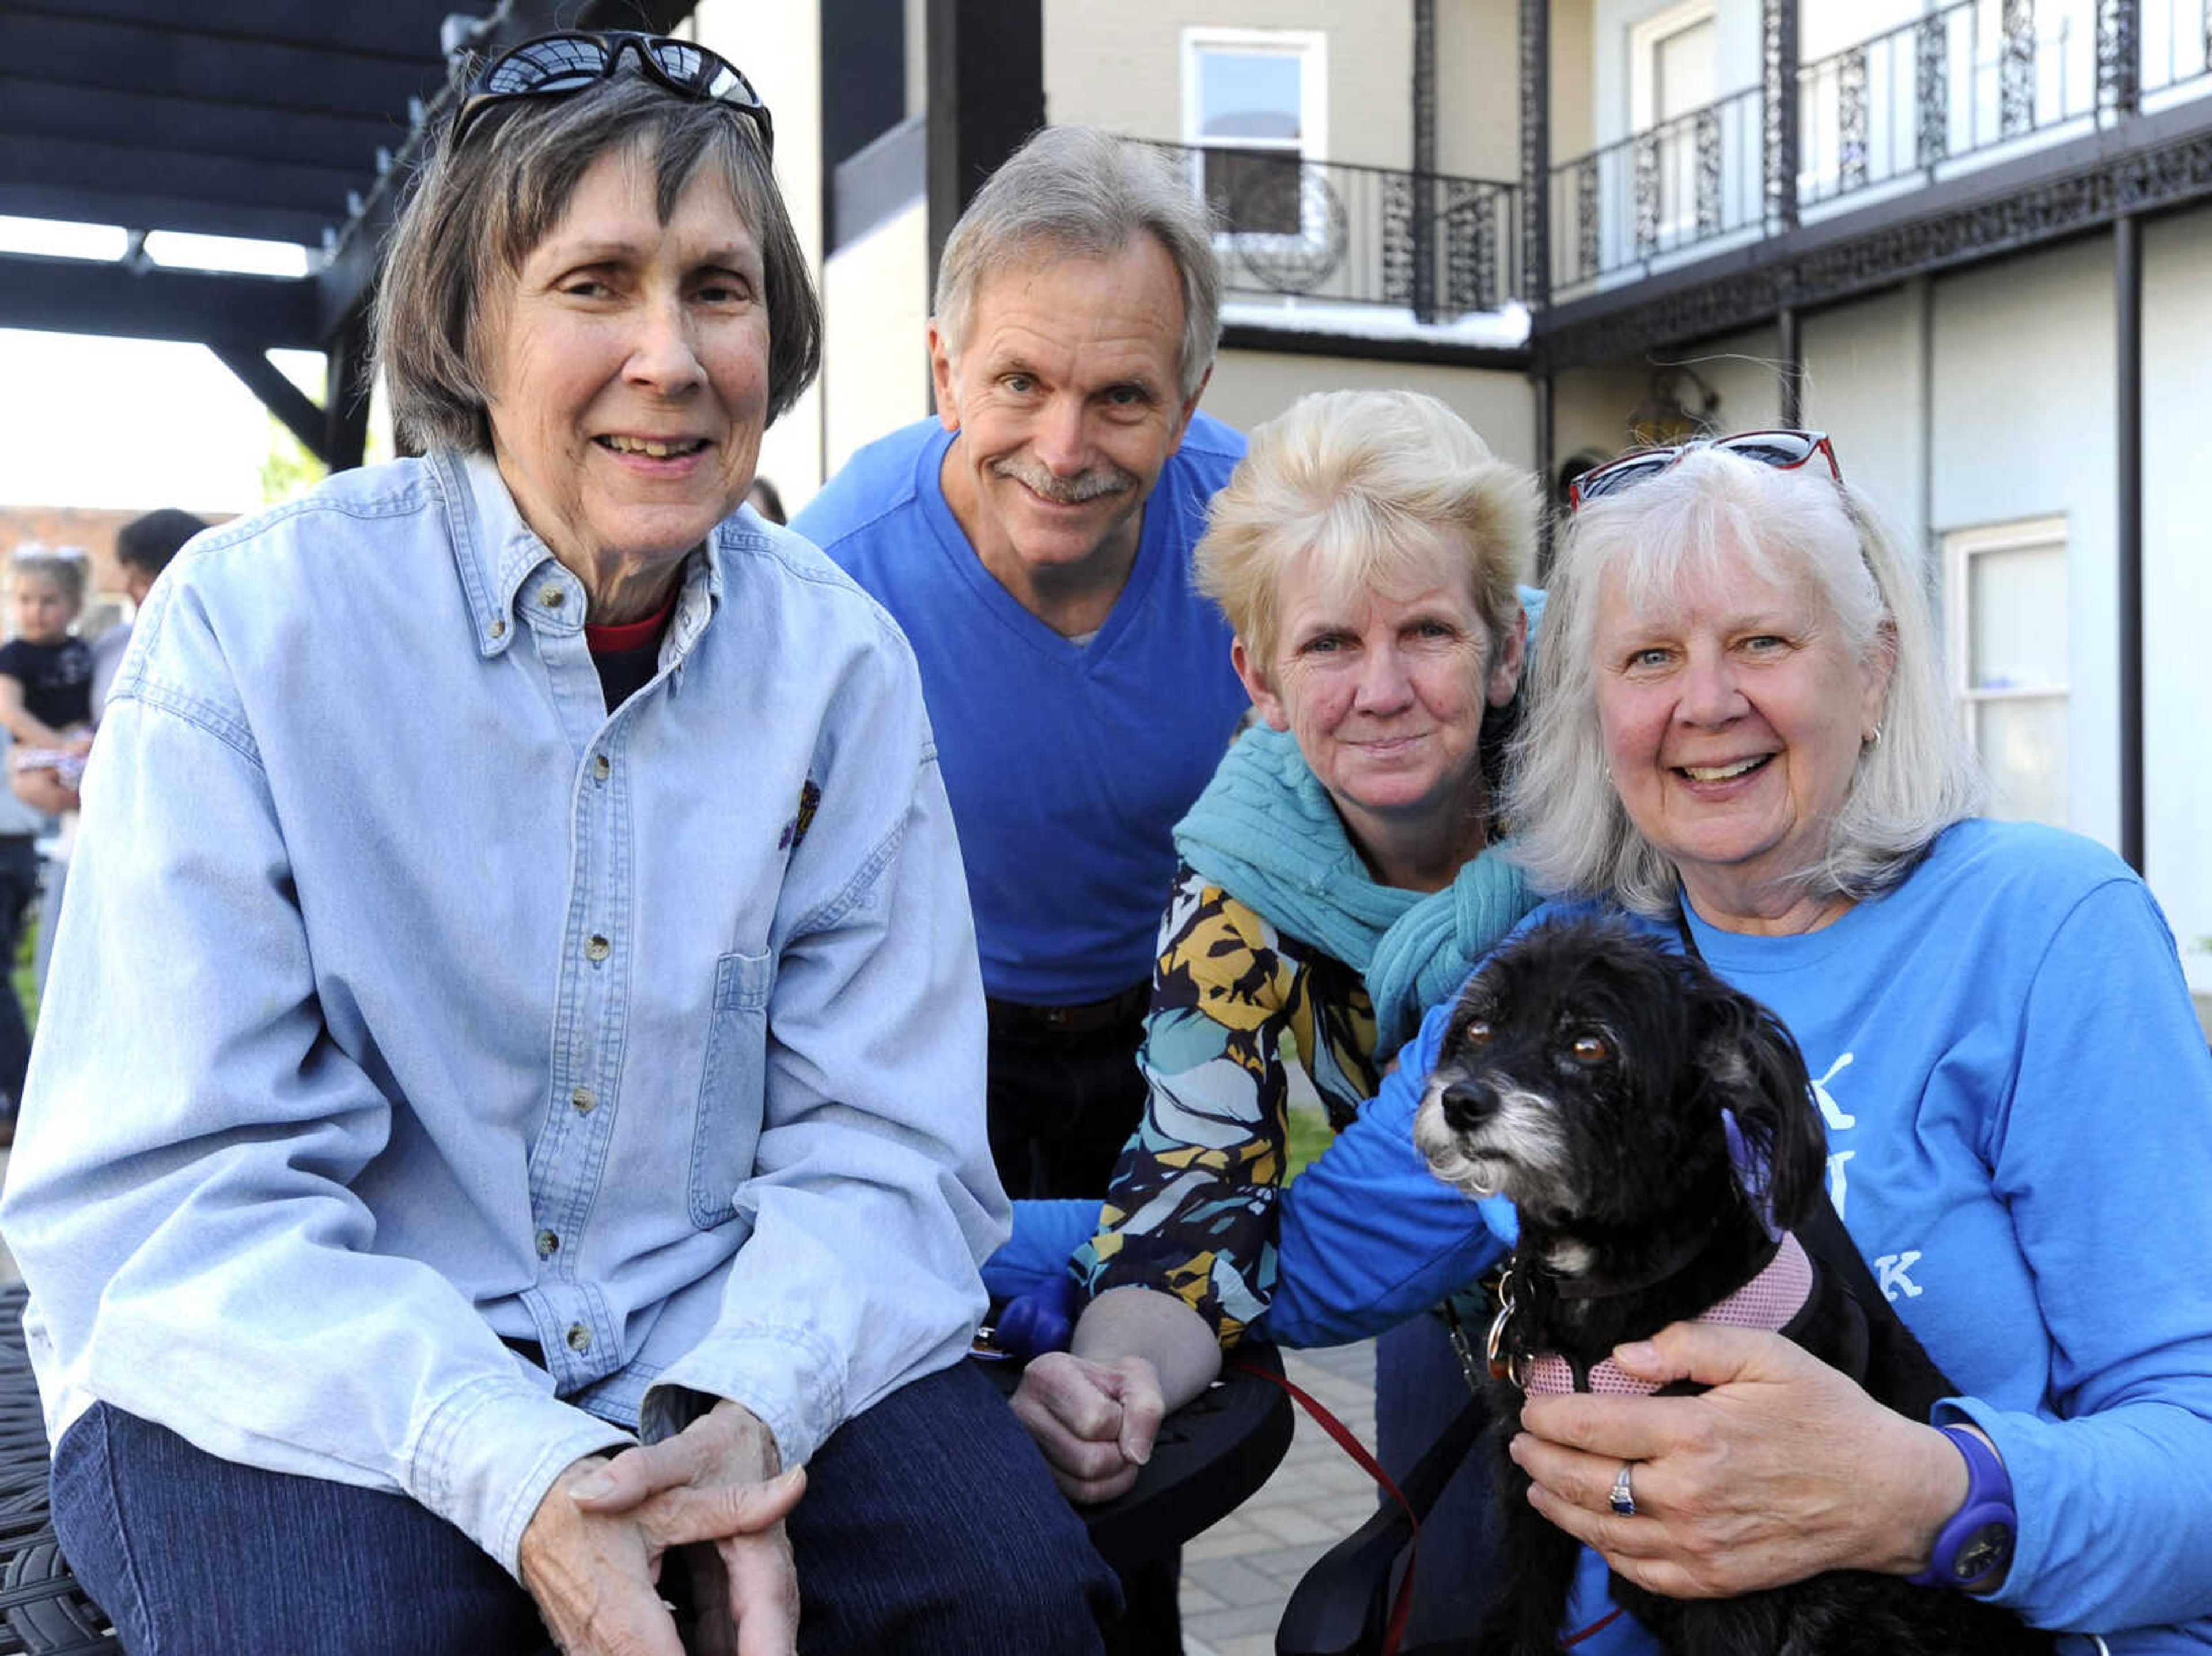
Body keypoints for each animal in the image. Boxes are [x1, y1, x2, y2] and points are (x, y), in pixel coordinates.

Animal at [1407, 915, 2044, 1654]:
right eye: (1479, 1029)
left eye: (1589, 1044)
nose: (1461, 1100)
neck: (1606, 1280)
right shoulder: (1529, 1499)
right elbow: (1519, 1617)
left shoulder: (1729, 1556)